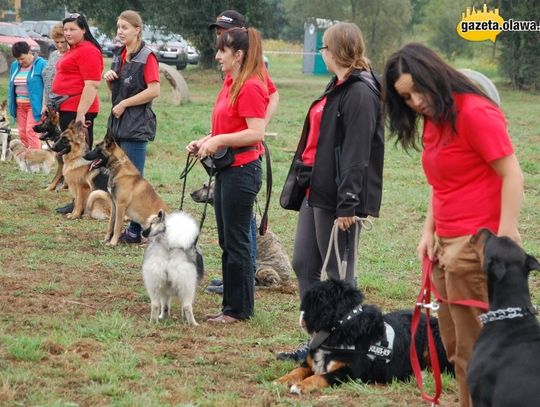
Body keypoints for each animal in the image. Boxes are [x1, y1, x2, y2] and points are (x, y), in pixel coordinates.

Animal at [276, 280, 454, 396]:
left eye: (311, 303)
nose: (300, 317)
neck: (340, 331)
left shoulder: (349, 372)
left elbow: (320, 377)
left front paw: (300, 386)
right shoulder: (310, 362)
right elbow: (296, 370)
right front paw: (281, 380)